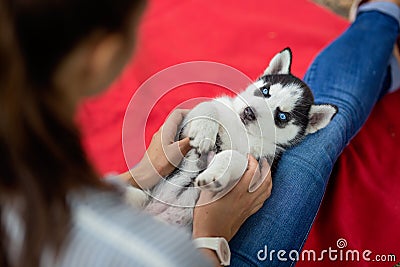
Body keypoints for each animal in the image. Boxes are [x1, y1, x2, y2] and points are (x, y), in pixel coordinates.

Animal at [129, 48, 338, 232]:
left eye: (282, 117)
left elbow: (232, 156)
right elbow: (209, 107)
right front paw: (204, 131)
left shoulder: (258, 167)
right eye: (265, 91)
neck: (242, 129)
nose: (249, 112)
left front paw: (214, 174)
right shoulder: (184, 129)